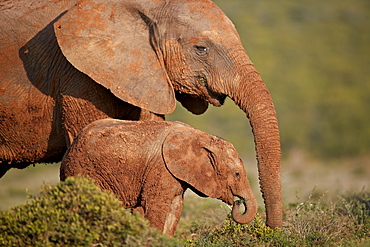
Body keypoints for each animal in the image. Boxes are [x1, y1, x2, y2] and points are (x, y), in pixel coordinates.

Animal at [60, 118, 258, 236]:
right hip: (82, 168)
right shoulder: (162, 168)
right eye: (237, 174)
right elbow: (155, 206)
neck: (201, 137)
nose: (237, 202)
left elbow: (175, 208)